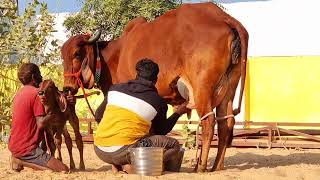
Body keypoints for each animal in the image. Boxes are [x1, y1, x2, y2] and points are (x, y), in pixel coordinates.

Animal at [62, 2, 248, 172]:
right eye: (62, 57)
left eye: (77, 54)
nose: (67, 88)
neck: (116, 56)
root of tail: (224, 18)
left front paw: (118, 168)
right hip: (228, 91)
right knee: (226, 123)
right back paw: (217, 166)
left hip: (202, 90)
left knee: (208, 122)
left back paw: (200, 167)